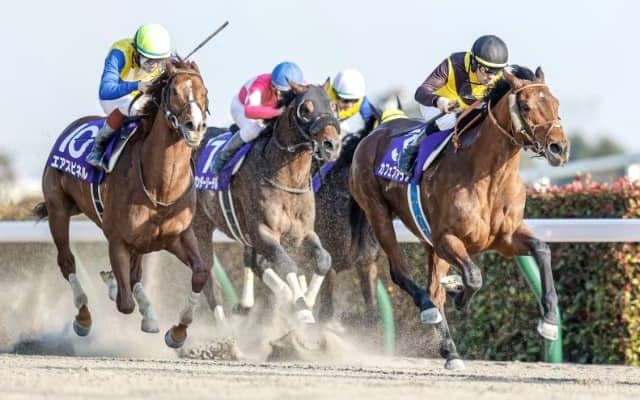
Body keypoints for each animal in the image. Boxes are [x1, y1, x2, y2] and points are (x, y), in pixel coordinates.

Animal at [33, 59, 210, 348]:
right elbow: (124, 302)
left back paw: (147, 314)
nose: (195, 126)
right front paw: (114, 285)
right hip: (58, 210)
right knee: (67, 262)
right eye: (174, 91)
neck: (162, 187)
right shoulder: (117, 239)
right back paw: (84, 317)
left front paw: (177, 333)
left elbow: (201, 272)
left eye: (204, 92)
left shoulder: (178, 236)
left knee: (136, 273)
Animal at [193, 80, 342, 324]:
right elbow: (287, 264)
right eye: (305, 109)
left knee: (255, 263)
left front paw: (306, 300)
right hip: (199, 228)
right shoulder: (263, 232)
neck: (288, 180)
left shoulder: (304, 233)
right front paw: (302, 310)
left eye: (333, 106)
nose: (332, 145)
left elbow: (324, 259)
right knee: (210, 283)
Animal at [349, 66, 570, 369]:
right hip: (378, 213)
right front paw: (460, 296)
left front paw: (548, 321)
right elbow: (474, 278)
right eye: (525, 106)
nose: (559, 148)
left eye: (556, 103)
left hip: (428, 242)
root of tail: (374, 134)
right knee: (403, 274)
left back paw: (450, 349)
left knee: (434, 289)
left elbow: (542, 249)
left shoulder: (505, 238)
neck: (489, 176)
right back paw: (430, 310)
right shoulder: (446, 238)